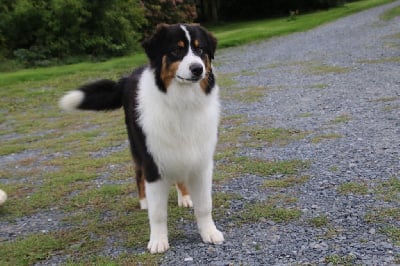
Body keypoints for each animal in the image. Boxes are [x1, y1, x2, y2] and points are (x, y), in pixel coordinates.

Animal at [58, 24, 225, 254]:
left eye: (201, 50)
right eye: (176, 50)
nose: (197, 69)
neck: (182, 102)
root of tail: (128, 78)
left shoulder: (201, 161)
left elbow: (205, 205)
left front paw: (209, 232)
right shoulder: (152, 162)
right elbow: (157, 212)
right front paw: (158, 241)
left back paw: (184, 197)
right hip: (137, 149)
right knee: (138, 176)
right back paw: (144, 201)